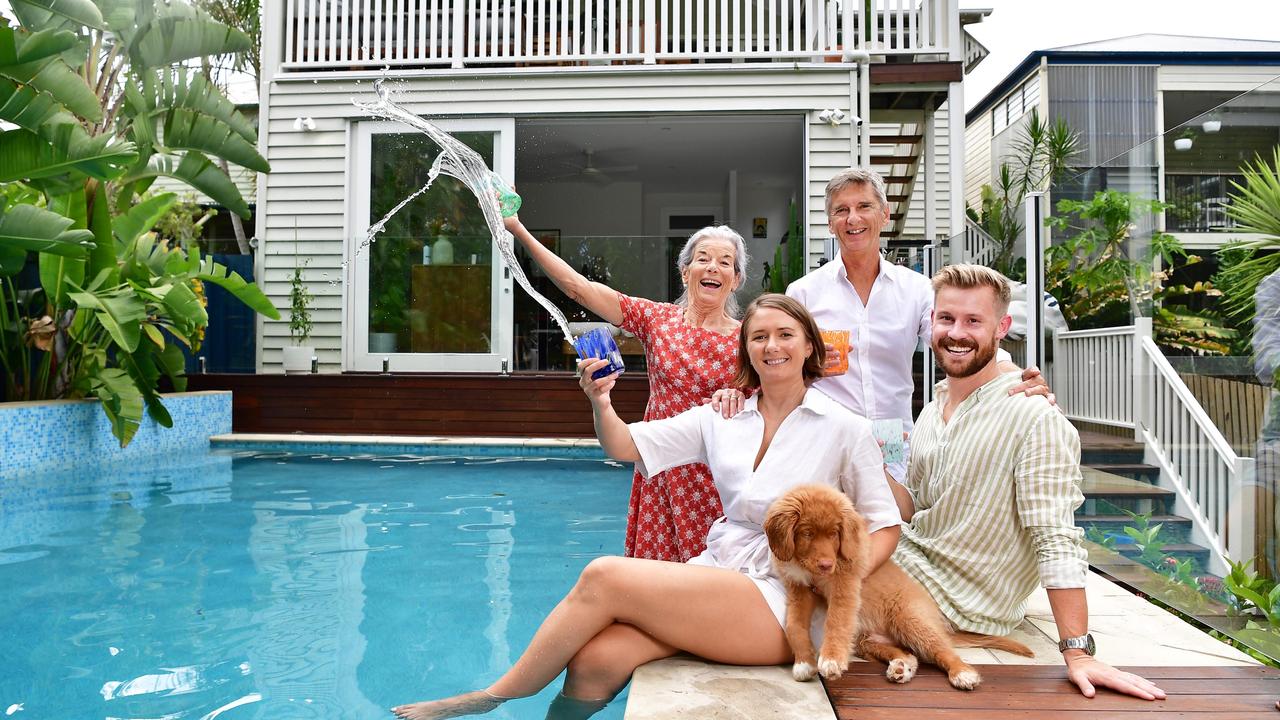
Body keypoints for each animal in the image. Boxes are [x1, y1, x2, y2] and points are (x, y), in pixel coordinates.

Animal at [762, 479, 1034, 686]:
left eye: (834, 534)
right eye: (807, 533)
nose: (826, 565)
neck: (807, 567)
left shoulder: (845, 585)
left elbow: (836, 621)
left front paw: (831, 660)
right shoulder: (798, 590)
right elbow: (794, 626)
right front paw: (803, 662)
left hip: (910, 619)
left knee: (942, 650)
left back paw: (962, 673)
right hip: (867, 640)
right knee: (909, 654)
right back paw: (901, 666)